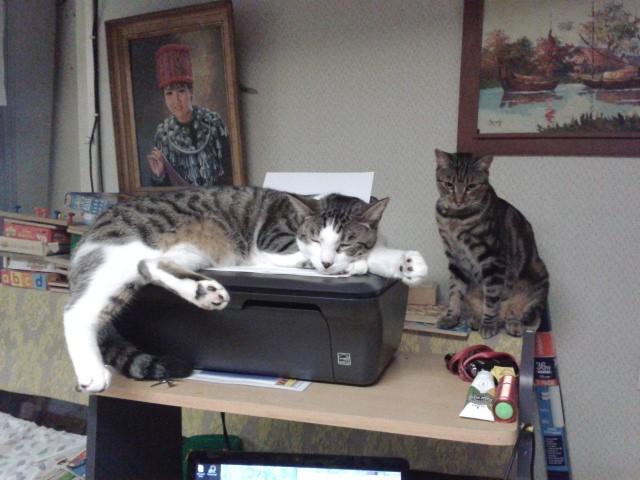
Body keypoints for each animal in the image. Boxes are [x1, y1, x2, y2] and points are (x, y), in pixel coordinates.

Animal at [64, 186, 428, 392]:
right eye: (314, 239)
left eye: (345, 241)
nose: (328, 262)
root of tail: (91, 229)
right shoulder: (274, 246)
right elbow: (318, 259)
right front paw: (356, 265)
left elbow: (375, 251)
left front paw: (404, 263)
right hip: (121, 256)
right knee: (76, 312)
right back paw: (92, 372)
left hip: (189, 252)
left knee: (151, 266)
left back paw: (206, 292)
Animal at [434, 149, 549, 339]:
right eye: (449, 184)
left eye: (471, 186)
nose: (459, 200)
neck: (455, 218)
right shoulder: (454, 259)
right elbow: (454, 292)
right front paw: (451, 317)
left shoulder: (493, 258)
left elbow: (492, 296)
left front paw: (488, 325)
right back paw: (476, 320)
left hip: (539, 279)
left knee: (522, 314)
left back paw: (512, 324)